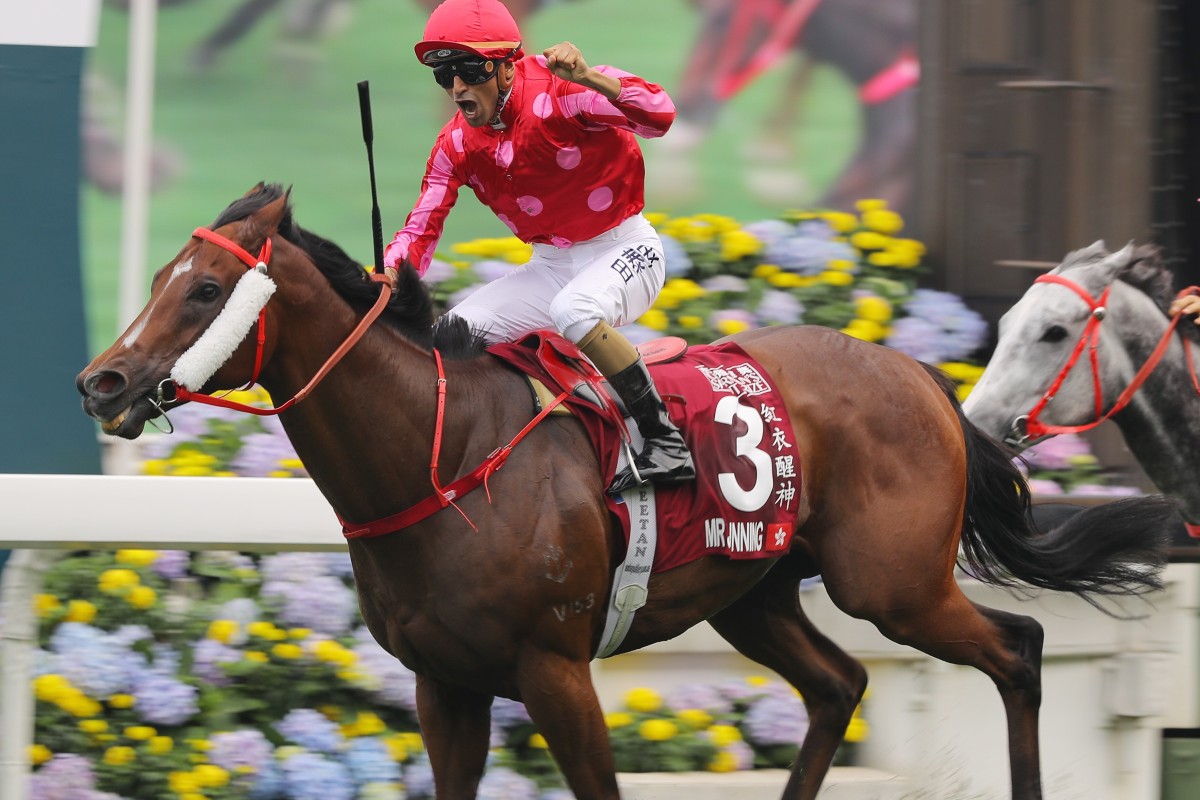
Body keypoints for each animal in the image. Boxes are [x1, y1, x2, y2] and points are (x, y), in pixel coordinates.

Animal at [79, 184, 1176, 796]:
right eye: (164, 274)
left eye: (205, 290)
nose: (104, 381)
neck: (443, 457)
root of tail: (923, 377)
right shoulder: (445, 682)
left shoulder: (555, 670)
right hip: (758, 590)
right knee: (839, 684)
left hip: (894, 583)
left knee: (1017, 649)